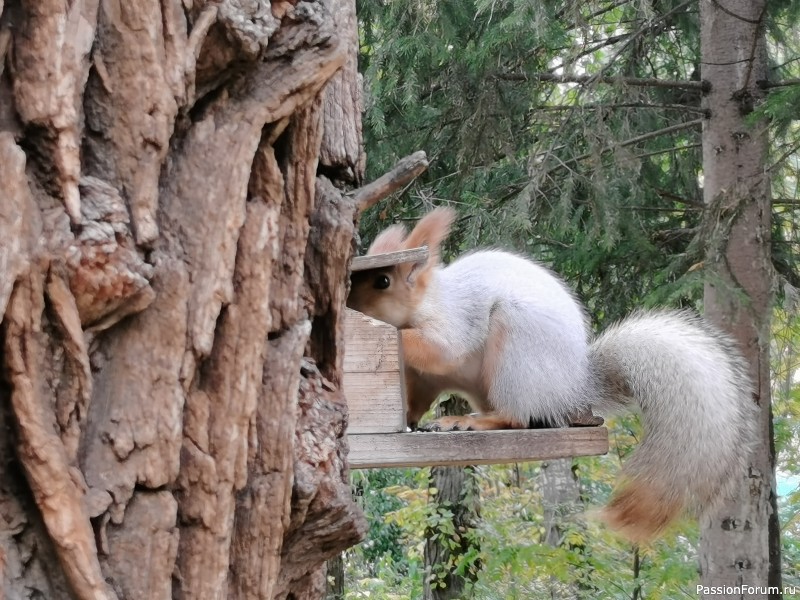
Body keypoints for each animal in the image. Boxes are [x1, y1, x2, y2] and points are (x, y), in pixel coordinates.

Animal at [348, 207, 756, 544]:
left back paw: (470, 421)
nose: (348, 305)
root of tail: (573, 390)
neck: (426, 302)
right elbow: (418, 394)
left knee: (517, 418)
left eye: (382, 282)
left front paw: (390, 333)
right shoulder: (421, 379)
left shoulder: (456, 320)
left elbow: (446, 349)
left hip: (517, 352)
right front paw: (408, 419)